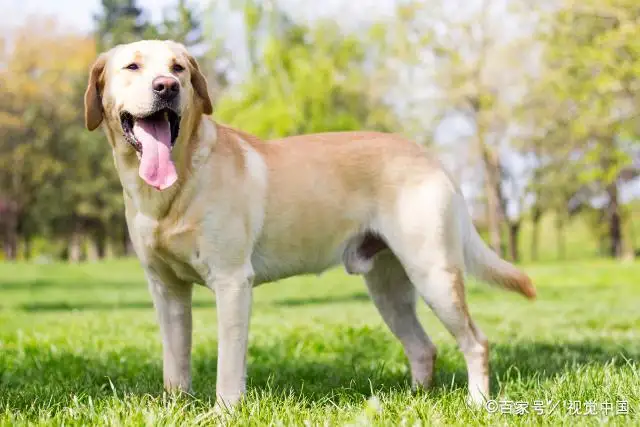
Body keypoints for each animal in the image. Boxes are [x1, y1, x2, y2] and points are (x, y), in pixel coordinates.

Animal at [84, 41, 536, 412]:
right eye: (132, 66)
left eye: (178, 68)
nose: (167, 87)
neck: (171, 192)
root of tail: (430, 156)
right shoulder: (167, 290)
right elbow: (175, 362)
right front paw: (176, 407)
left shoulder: (232, 282)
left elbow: (228, 363)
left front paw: (224, 413)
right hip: (388, 288)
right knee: (424, 348)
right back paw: (415, 401)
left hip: (435, 274)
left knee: (476, 342)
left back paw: (477, 403)